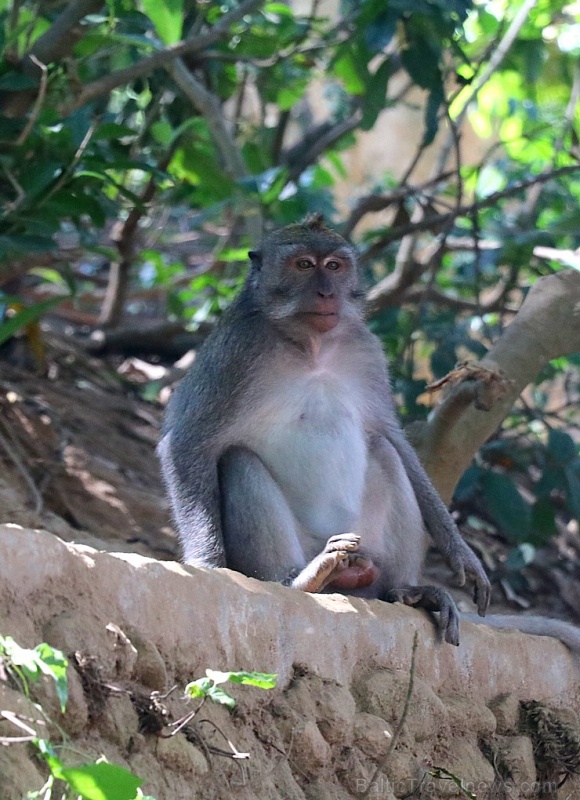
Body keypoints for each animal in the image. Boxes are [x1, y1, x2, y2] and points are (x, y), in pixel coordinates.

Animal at [159, 214, 494, 648]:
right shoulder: (235, 352)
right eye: (303, 265)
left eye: (334, 266)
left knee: (384, 451)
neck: (311, 346)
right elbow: (186, 442)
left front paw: (460, 552)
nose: (326, 293)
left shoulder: (367, 350)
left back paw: (403, 590)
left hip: (365, 546)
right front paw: (207, 564)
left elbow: (394, 438)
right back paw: (301, 580)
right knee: (238, 461)